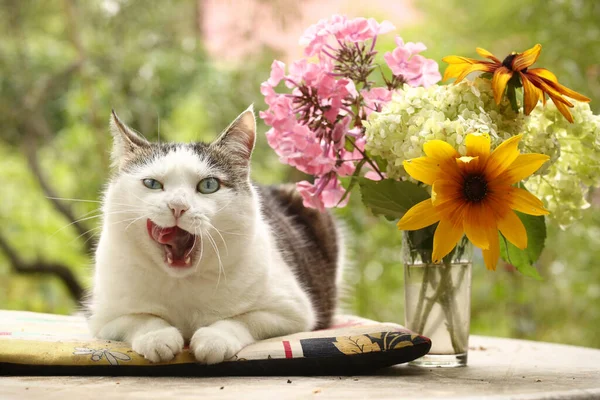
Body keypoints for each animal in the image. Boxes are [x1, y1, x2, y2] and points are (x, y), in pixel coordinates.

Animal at [87, 108, 344, 364]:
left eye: (209, 185)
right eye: (152, 183)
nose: (178, 206)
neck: (182, 283)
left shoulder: (292, 311)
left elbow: (242, 319)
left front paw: (214, 339)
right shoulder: (104, 318)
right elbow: (139, 318)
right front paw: (157, 337)